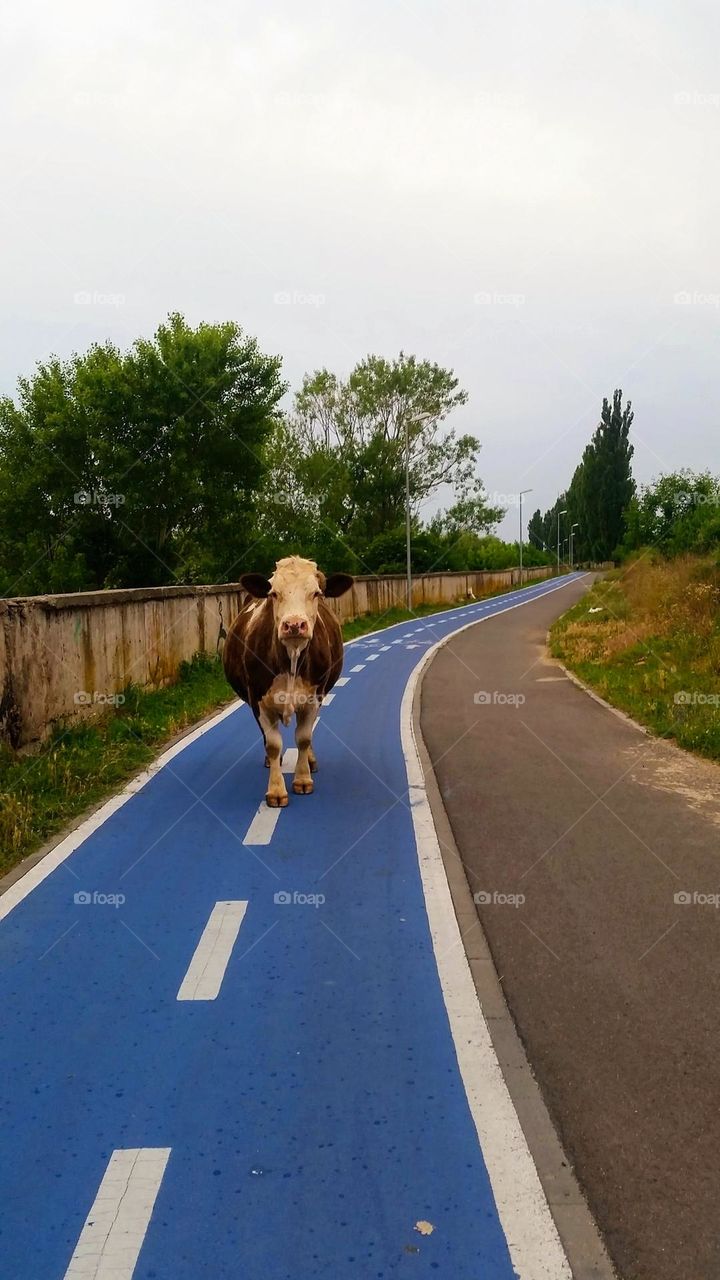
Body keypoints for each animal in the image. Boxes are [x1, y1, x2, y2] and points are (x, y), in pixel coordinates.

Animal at [223, 556, 354, 808]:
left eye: (316, 593)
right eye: (274, 593)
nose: (294, 624)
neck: (291, 660)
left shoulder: (314, 697)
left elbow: (303, 738)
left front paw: (303, 779)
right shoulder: (259, 700)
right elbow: (273, 744)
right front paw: (276, 790)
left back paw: (311, 761)